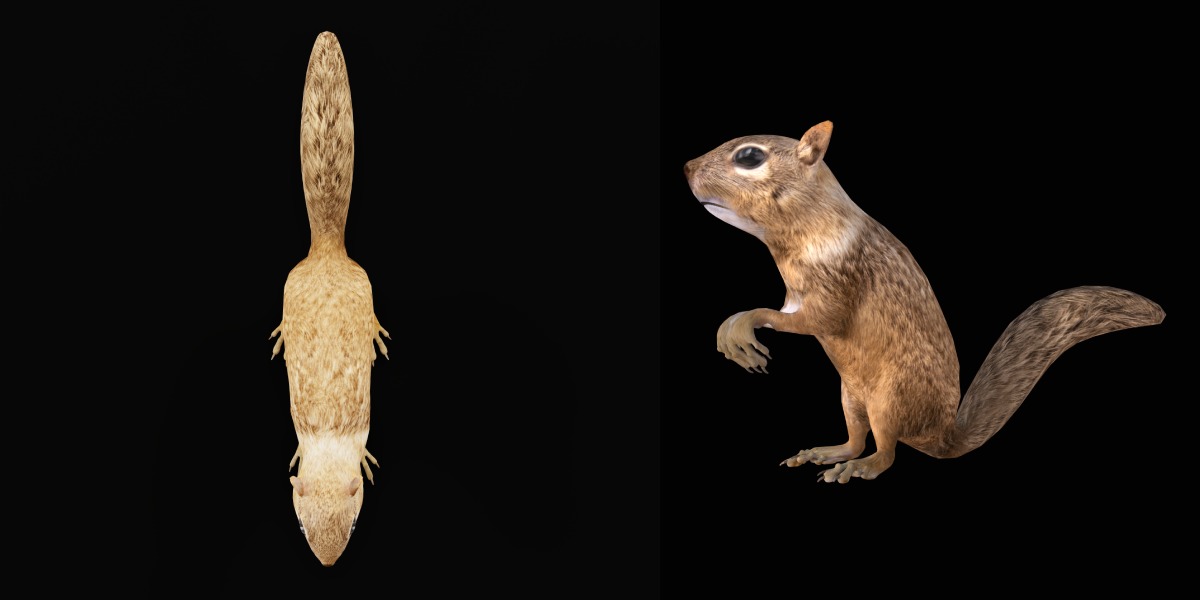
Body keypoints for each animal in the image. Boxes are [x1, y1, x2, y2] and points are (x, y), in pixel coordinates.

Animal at [684, 121, 1165, 483]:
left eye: (749, 157)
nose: (687, 167)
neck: (806, 229)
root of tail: (939, 433)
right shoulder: (795, 294)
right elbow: (787, 313)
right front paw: (733, 329)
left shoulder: (839, 280)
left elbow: (816, 319)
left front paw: (741, 327)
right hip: (849, 395)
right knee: (857, 438)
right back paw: (827, 452)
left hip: (891, 398)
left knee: (885, 452)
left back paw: (856, 469)